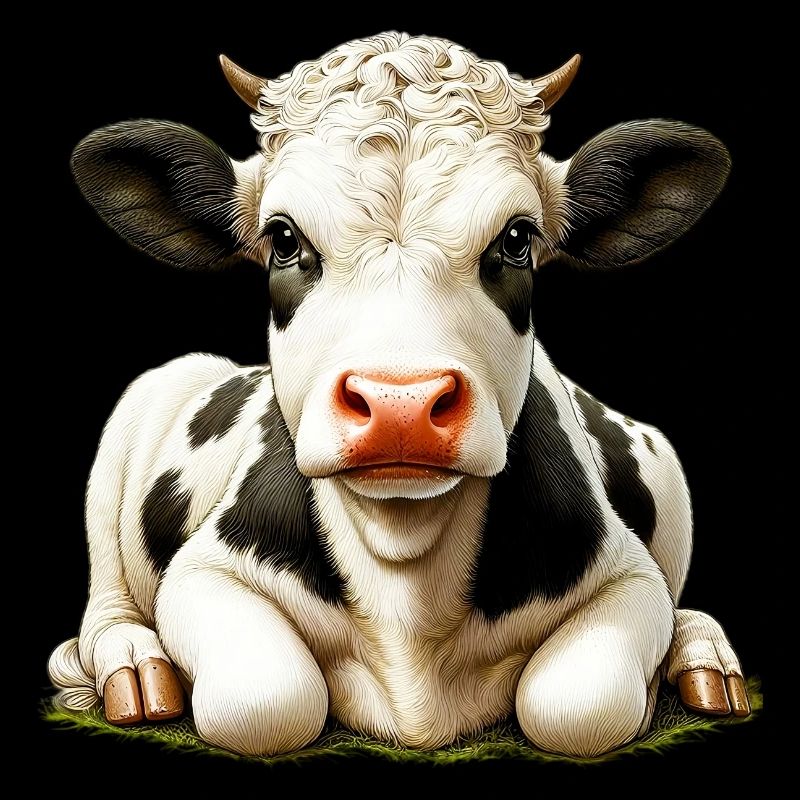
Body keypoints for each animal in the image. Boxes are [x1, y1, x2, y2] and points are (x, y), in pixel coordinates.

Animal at [48, 32, 749, 759]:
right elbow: (266, 700)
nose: (399, 404)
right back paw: (133, 672)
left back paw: (706, 662)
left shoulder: (629, 576)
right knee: (106, 607)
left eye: (517, 238)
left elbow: (582, 706)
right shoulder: (204, 572)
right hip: (135, 416)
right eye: (284, 239)